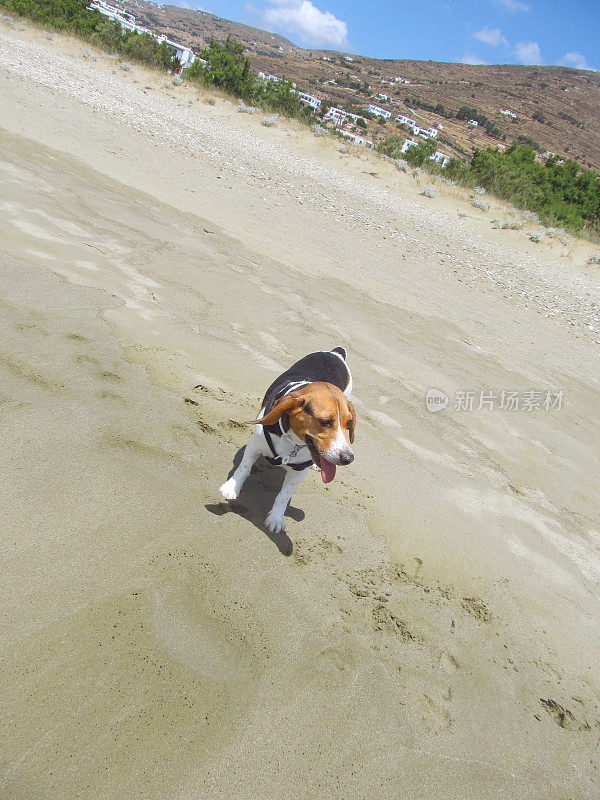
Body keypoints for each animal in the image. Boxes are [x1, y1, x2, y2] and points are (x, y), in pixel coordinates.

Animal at [219, 346, 356, 536]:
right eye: (325, 422)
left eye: (348, 423)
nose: (348, 459)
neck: (293, 442)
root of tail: (336, 353)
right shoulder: (254, 445)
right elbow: (244, 469)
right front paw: (232, 488)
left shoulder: (299, 473)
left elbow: (283, 496)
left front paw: (276, 517)